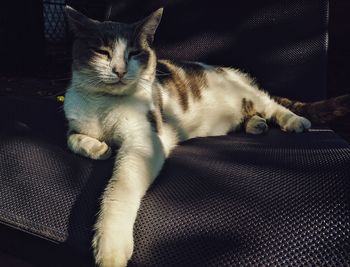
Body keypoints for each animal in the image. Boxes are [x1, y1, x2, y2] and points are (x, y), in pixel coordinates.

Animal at [63, 5, 350, 267]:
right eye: (103, 52)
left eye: (135, 53)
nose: (120, 71)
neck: (104, 104)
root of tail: (230, 71)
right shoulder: (76, 120)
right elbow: (72, 138)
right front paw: (98, 148)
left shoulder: (145, 140)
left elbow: (120, 187)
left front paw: (110, 246)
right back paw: (255, 124)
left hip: (251, 95)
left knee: (274, 106)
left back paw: (293, 120)